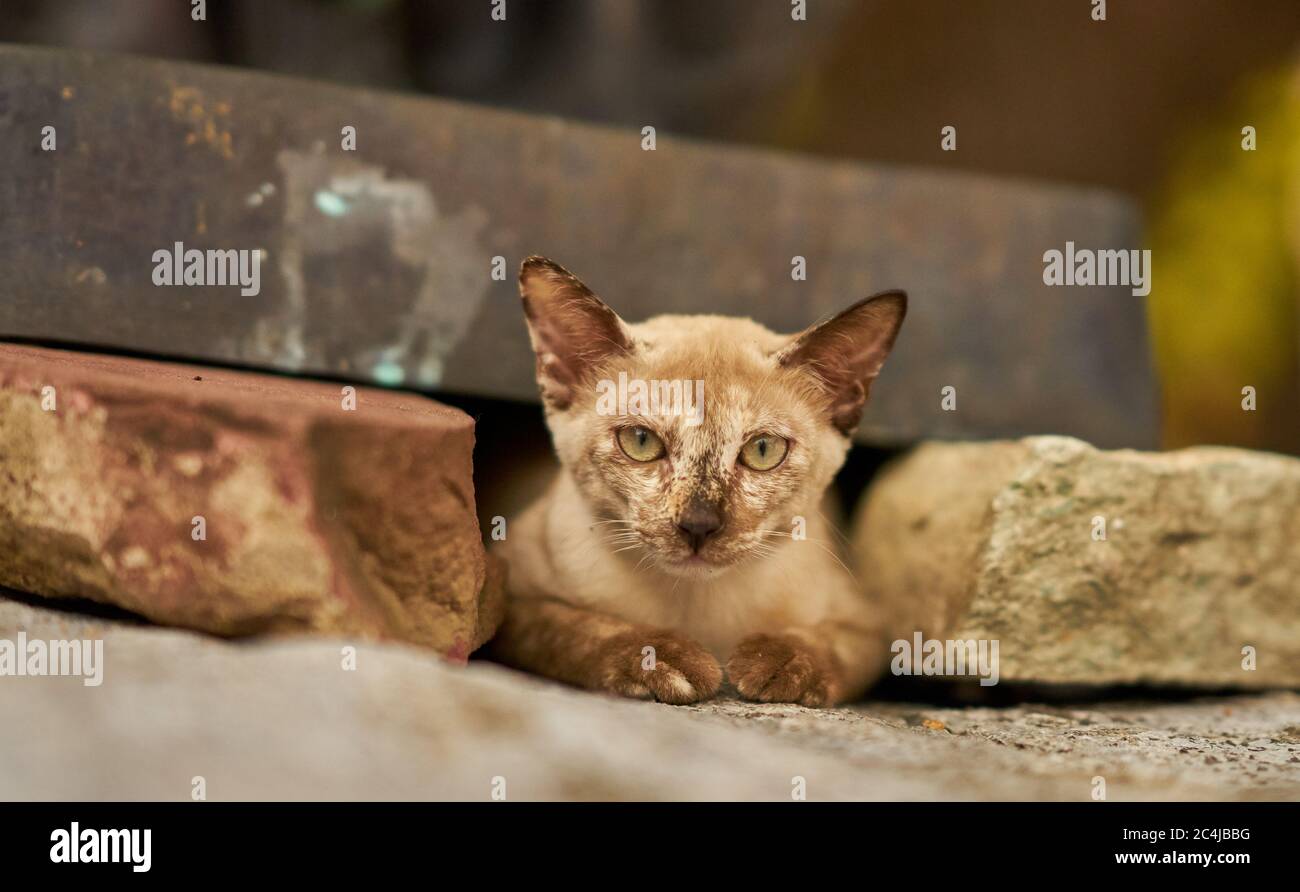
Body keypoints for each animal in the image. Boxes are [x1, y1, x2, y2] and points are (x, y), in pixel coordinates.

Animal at [488, 257, 904, 707]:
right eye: (641, 441)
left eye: (762, 450)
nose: (698, 526)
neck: (695, 605)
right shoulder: (508, 595)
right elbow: (573, 628)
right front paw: (664, 660)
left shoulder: (868, 622)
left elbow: (824, 647)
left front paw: (773, 663)